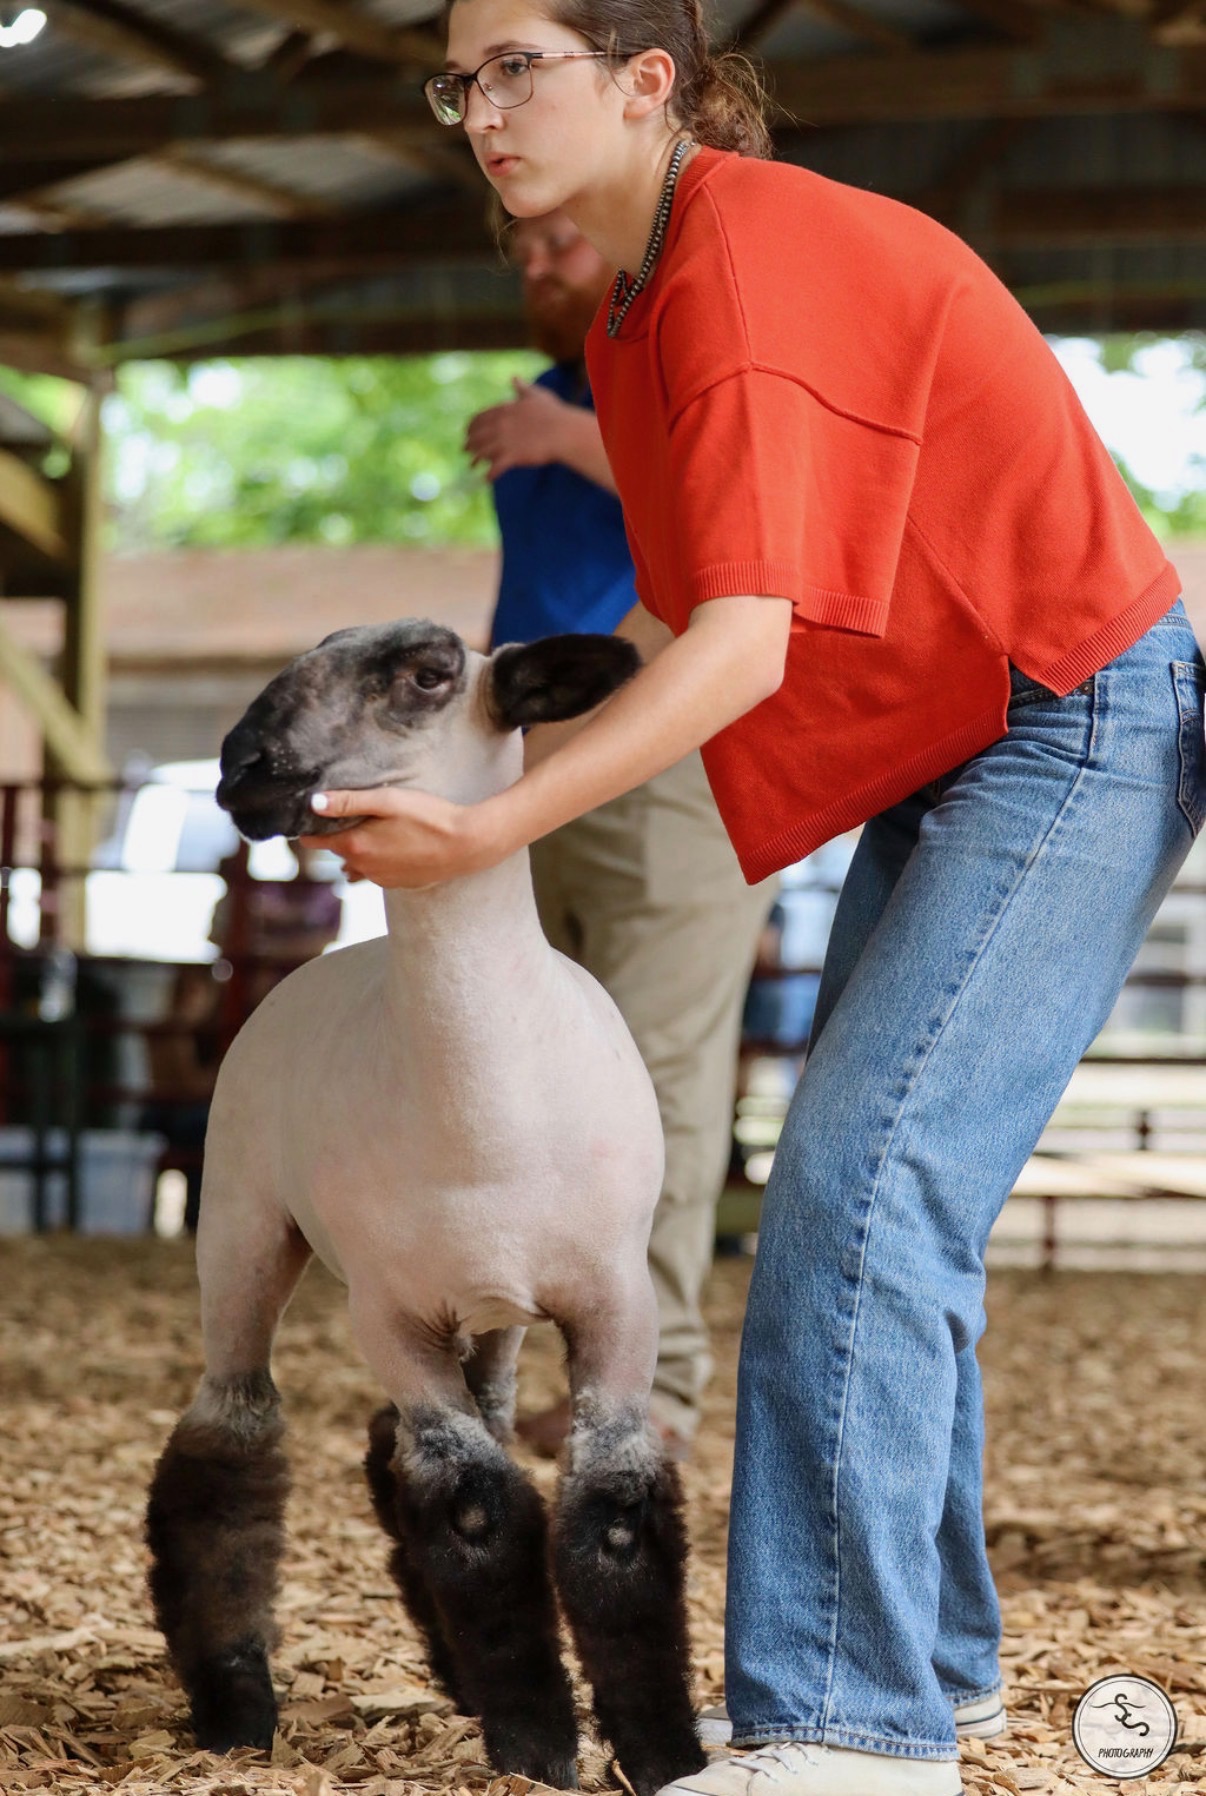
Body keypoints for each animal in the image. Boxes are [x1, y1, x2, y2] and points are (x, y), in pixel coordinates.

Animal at [144, 618, 708, 1796]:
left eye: (428, 674)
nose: (244, 771)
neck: (484, 1108)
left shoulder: (615, 1302)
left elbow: (614, 1522)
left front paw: (663, 1751)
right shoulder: (391, 1315)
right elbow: (479, 1513)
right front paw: (538, 1746)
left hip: (494, 1314)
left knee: (422, 1437)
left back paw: (448, 1678)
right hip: (242, 1226)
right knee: (229, 1440)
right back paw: (234, 1705)